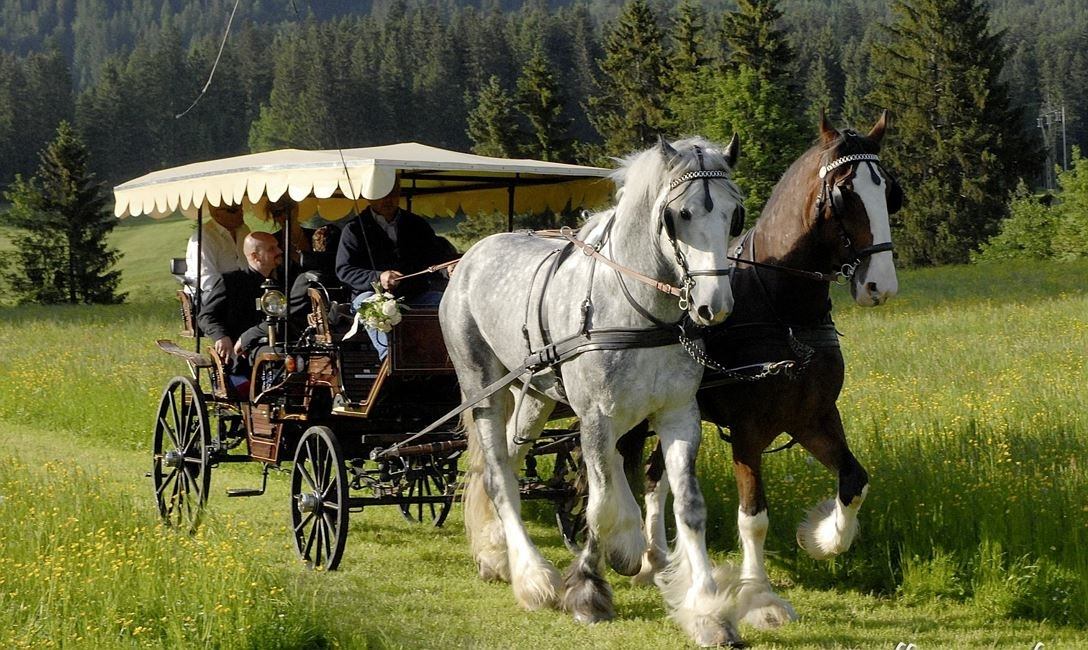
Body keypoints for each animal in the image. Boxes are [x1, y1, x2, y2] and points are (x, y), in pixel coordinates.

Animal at [440, 136, 750, 646]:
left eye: (733, 214)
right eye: (680, 214)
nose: (714, 306)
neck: (640, 309)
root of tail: (471, 255)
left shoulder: (678, 415)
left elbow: (689, 507)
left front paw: (707, 611)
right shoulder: (597, 417)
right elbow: (600, 507)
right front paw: (592, 587)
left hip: (536, 395)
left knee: (506, 461)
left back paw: (494, 553)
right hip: (483, 387)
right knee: (500, 475)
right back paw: (532, 577)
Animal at [627, 112, 902, 632]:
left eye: (891, 191)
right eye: (844, 192)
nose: (881, 286)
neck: (783, 309)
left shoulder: (813, 418)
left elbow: (854, 481)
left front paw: (822, 538)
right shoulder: (749, 430)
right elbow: (752, 517)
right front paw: (759, 597)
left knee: (654, 476)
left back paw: (655, 558)